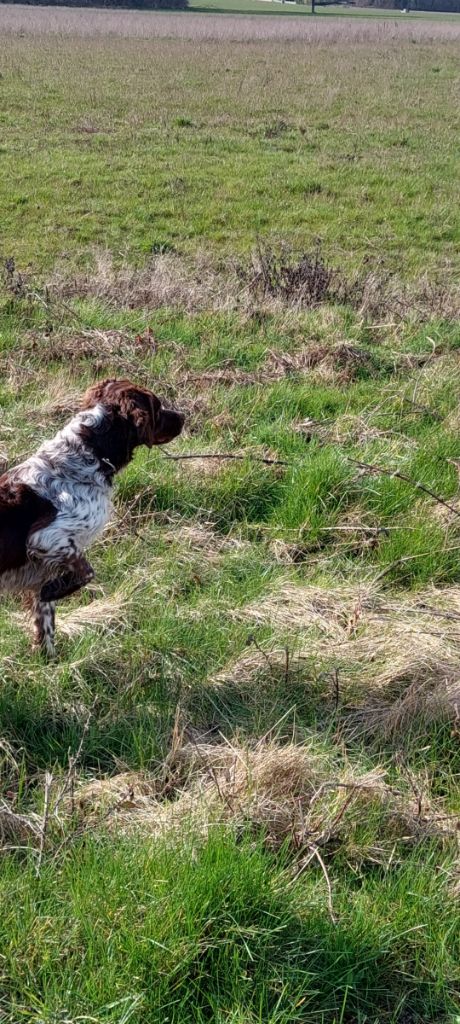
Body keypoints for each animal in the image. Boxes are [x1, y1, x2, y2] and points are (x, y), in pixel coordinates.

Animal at [0, 378, 182, 655]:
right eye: (158, 407)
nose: (183, 417)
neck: (88, 455)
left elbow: (46, 629)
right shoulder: (47, 537)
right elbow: (86, 572)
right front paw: (53, 590)